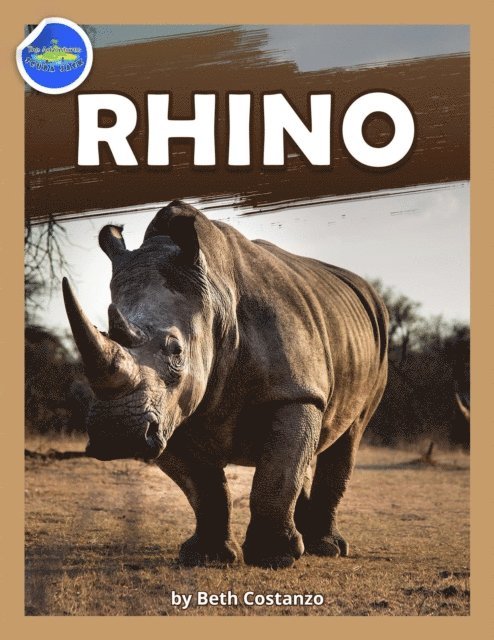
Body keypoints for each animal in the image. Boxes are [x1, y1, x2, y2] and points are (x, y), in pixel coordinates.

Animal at [63, 200, 388, 568]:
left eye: (176, 351)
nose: (117, 434)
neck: (216, 301)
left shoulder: (294, 392)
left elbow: (276, 476)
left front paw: (273, 557)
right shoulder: (171, 412)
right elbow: (205, 489)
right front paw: (208, 556)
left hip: (376, 342)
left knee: (349, 435)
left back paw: (326, 548)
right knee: (310, 446)